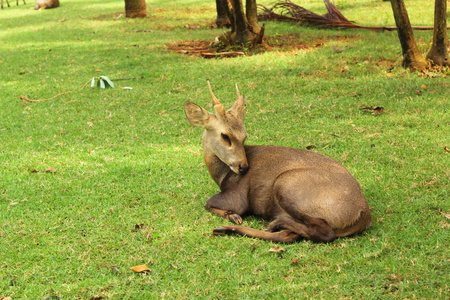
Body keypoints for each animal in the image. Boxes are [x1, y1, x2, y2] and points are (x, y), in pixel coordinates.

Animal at [185, 82, 374, 244]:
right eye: (225, 135)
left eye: (244, 136)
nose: (243, 167)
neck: (222, 176)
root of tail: (363, 213)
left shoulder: (237, 197)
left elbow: (209, 202)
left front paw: (232, 215)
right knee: (290, 236)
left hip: (286, 185)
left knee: (324, 232)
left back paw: (272, 222)